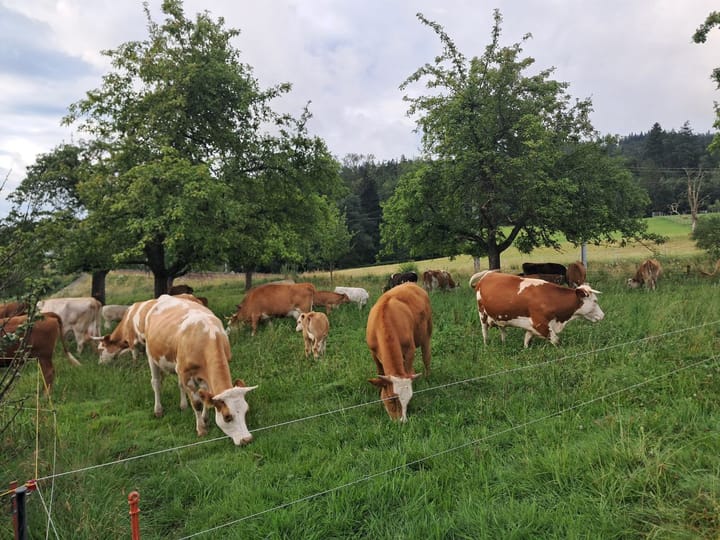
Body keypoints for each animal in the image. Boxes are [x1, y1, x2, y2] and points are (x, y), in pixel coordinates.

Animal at [142, 296, 258, 448]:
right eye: (227, 417)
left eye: (246, 410)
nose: (247, 439)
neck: (207, 337)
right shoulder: (186, 374)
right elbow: (197, 402)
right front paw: (201, 429)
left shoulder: (203, 375)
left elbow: (206, 395)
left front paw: (205, 418)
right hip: (151, 355)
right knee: (156, 383)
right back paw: (158, 410)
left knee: (180, 385)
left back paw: (183, 405)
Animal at [366, 282, 434, 422]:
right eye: (391, 399)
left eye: (409, 400)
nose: (402, 421)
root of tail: (410, 283)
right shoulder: (373, 353)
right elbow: (380, 371)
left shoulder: (409, 350)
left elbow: (408, 369)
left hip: (427, 333)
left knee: (426, 356)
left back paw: (427, 376)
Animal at [470, 270, 604, 350]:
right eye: (595, 301)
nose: (603, 315)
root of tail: (489, 273)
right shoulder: (540, 324)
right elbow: (556, 341)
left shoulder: (533, 325)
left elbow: (527, 339)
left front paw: (525, 350)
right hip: (482, 314)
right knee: (484, 331)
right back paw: (486, 345)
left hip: (500, 316)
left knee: (502, 329)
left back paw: (504, 343)